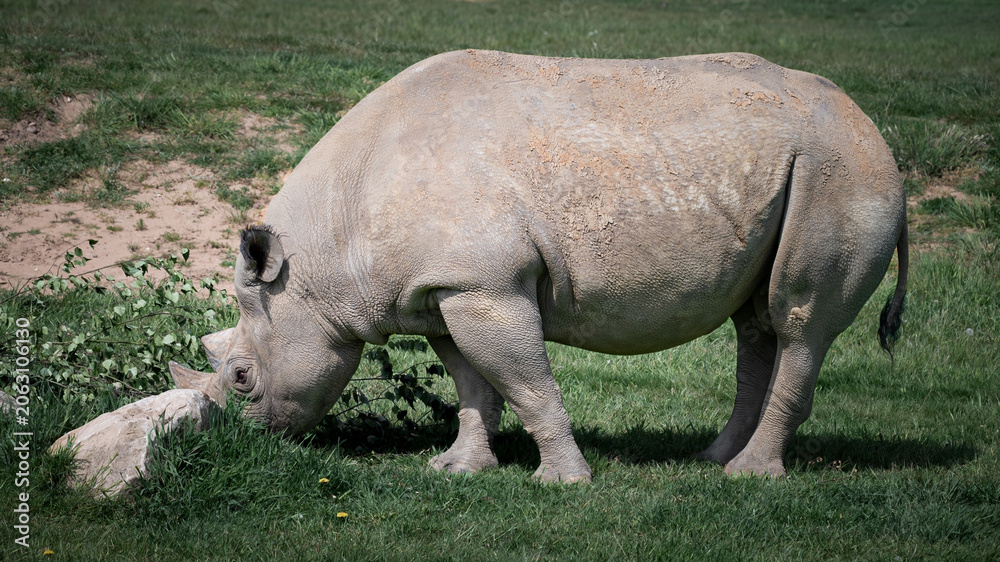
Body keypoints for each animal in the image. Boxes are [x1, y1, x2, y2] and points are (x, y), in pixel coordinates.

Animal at [170, 50, 908, 482]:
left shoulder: (486, 285)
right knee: (756, 323)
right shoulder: (443, 289)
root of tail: (876, 133)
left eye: (240, 377)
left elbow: (526, 382)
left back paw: (748, 476)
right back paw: (712, 458)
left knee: (800, 321)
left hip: (841, 173)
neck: (325, 251)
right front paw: (457, 470)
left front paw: (562, 482)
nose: (243, 441)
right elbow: (474, 384)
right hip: (808, 168)